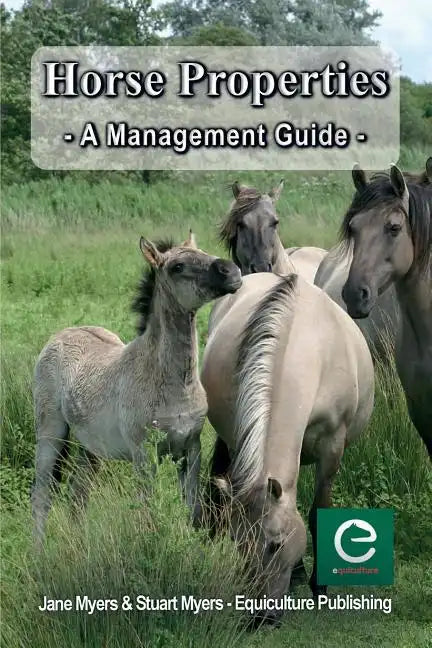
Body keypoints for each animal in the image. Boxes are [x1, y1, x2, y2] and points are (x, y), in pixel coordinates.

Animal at [31, 232, 242, 545]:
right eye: (177, 266)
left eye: (203, 251)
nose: (231, 271)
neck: (174, 385)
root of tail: (61, 335)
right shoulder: (145, 455)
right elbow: (148, 513)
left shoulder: (190, 449)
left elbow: (192, 510)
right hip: (51, 434)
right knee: (42, 494)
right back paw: (39, 552)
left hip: (90, 447)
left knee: (78, 493)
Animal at [201, 272, 374, 624]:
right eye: (238, 544)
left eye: (276, 545)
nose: (261, 617)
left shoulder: (332, 449)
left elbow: (318, 513)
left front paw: (319, 588)